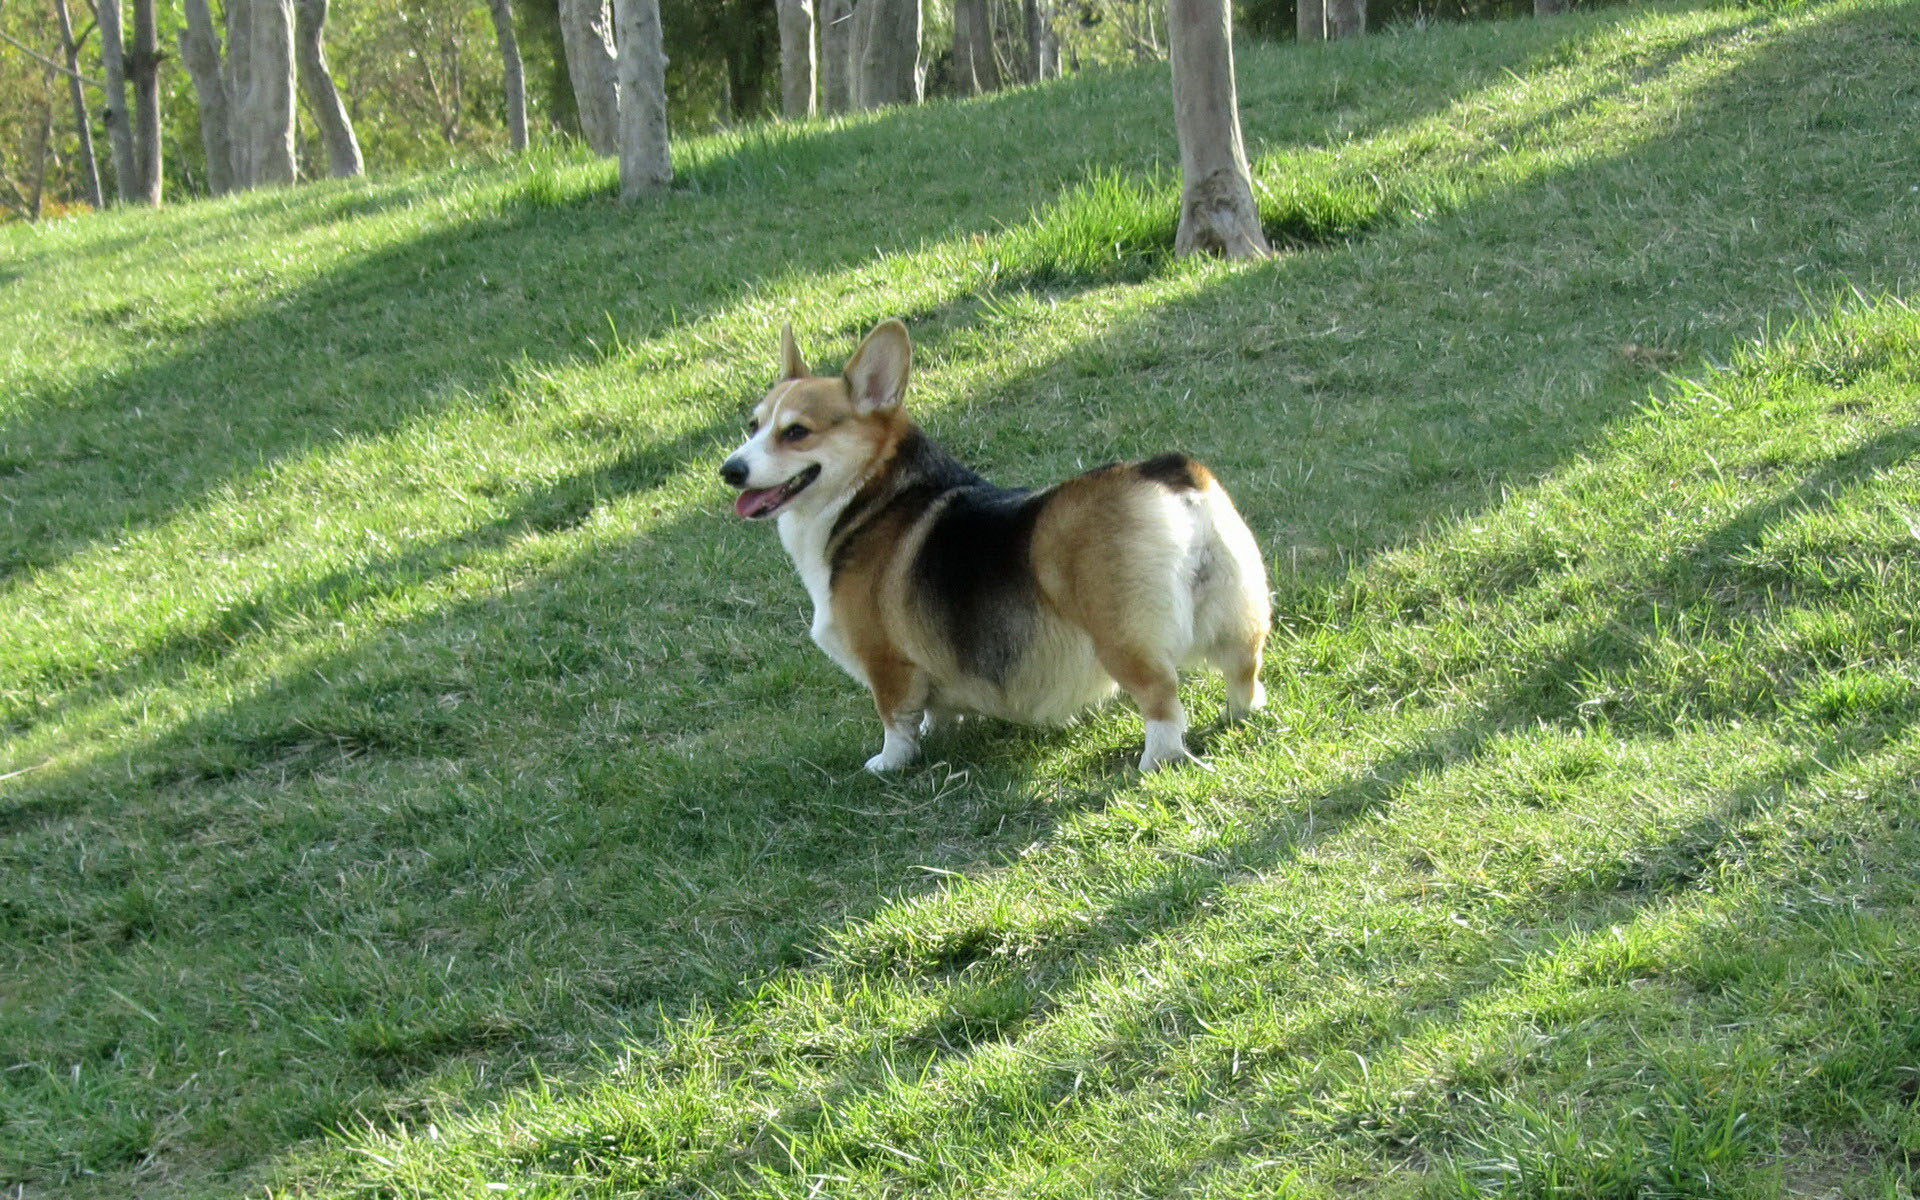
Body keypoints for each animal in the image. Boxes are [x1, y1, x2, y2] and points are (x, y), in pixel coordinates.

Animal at [714, 318, 1267, 771]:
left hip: (1124, 639)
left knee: (1162, 699)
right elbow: (932, 710)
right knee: (1243, 671)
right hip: (1237, 612)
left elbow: (894, 718)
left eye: (797, 432)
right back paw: (1241, 716)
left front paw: (888, 763)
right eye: (753, 425)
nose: (730, 470)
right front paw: (939, 729)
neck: (868, 493)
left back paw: (1155, 760)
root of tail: (1166, 472)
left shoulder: (884, 661)